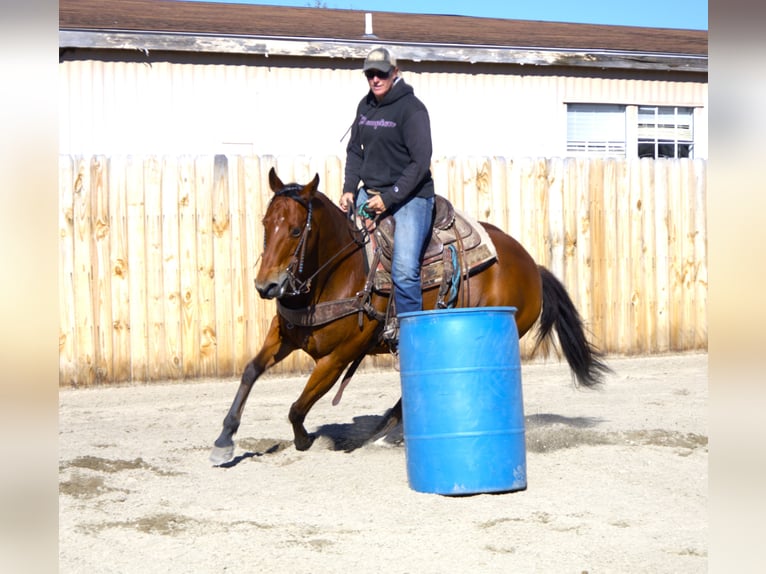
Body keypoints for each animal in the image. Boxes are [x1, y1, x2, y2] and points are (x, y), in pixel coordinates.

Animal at [210, 168, 611, 465]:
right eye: (266, 223)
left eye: (295, 230)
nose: (266, 285)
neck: (335, 274)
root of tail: (531, 265)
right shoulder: (284, 335)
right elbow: (250, 371)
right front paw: (224, 438)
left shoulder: (338, 357)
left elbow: (297, 407)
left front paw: (306, 440)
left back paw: (387, 435)